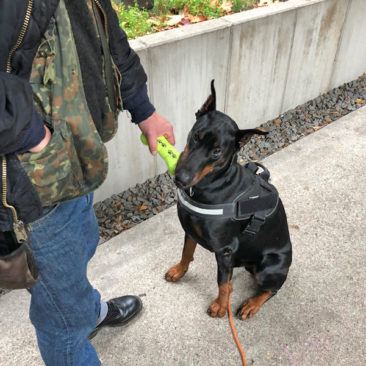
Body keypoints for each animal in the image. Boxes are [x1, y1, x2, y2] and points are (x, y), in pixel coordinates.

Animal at [166, 81, 292, 318]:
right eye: (196, 136)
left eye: (217, 151)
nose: (180, 179)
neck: (212, 184)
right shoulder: (190, 230)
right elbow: (187, 252)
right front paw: (179, 270)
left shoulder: (225, 250)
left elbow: (222, 282)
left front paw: (220, 305)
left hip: (269, 267)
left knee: (271, 289)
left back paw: (252, 304)